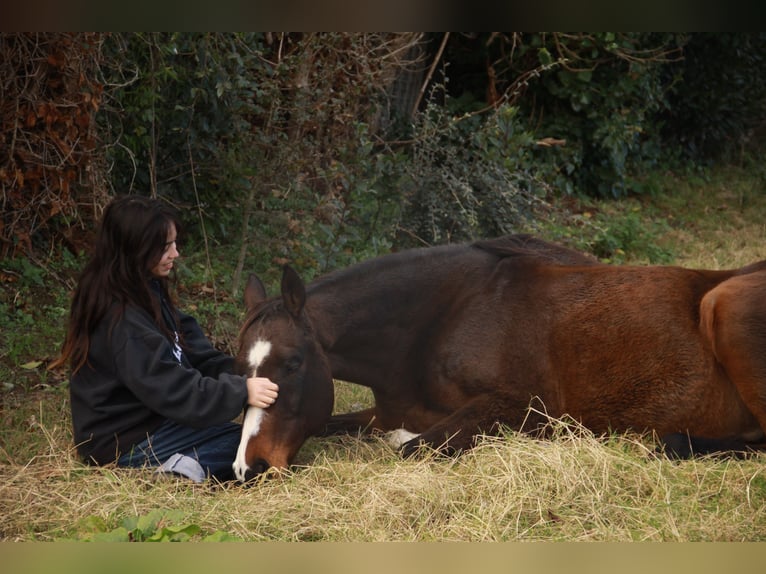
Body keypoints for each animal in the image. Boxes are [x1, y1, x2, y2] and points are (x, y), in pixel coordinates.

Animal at [231, 234, 766, 482]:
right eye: (241, 370)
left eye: (294, 363)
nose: (247, 467)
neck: (442, 321)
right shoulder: (384, 410)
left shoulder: (524, 410)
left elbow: (411, 446)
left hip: (724, 308)